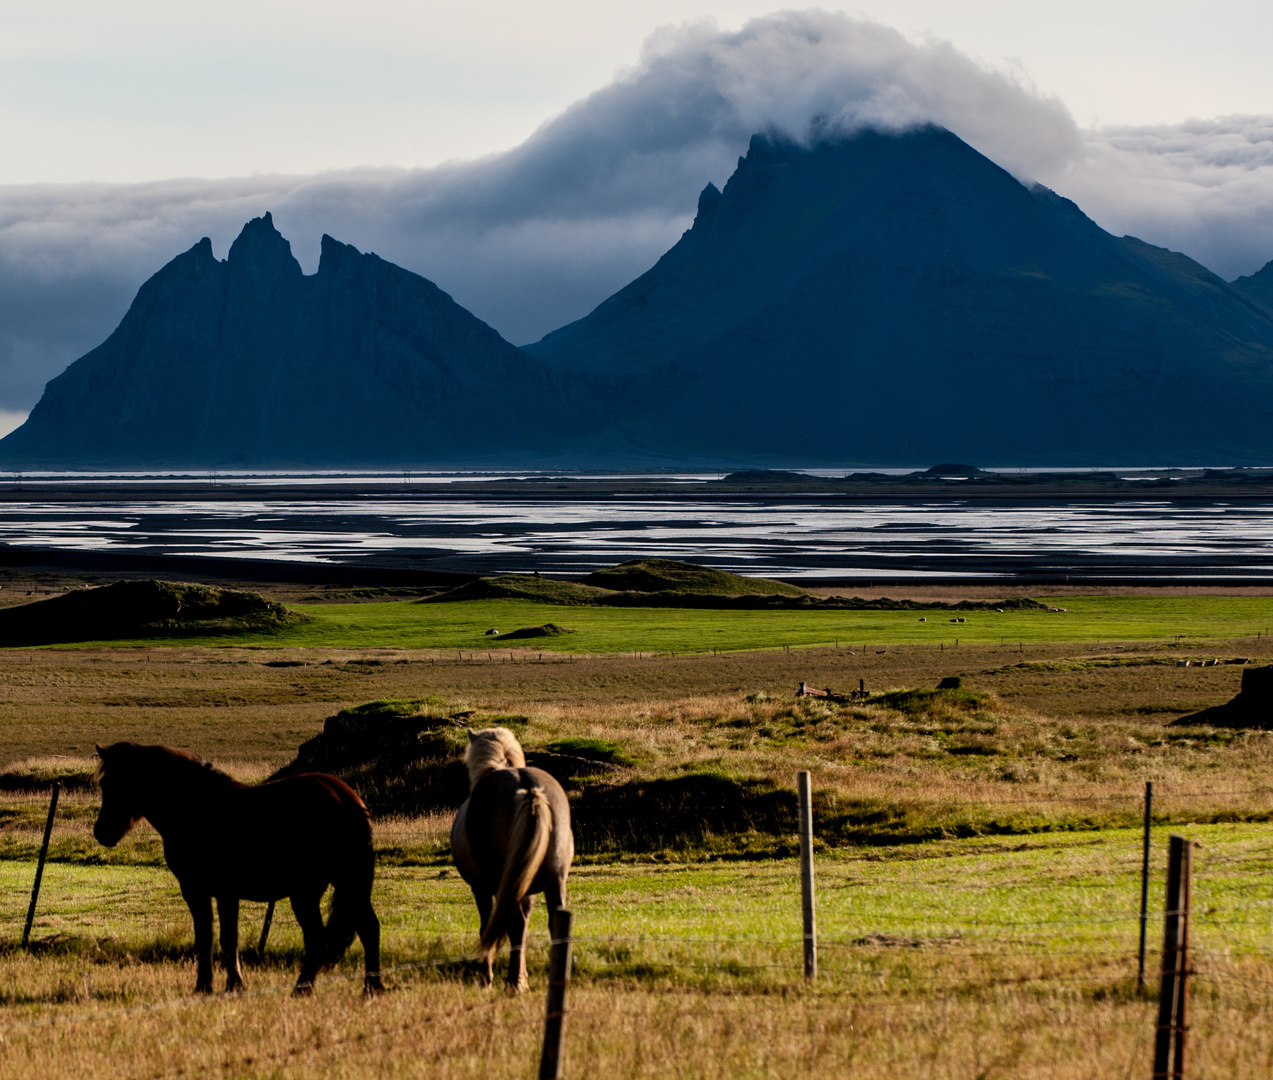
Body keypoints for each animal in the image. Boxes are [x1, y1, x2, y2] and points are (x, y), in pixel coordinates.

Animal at [94, 743, 381, 993]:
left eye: (115, 783)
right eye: (104, 784)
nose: (101, 832)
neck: (196, 808)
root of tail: (349, 799)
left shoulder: (197, 891)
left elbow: (207, 937)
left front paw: (205, 986)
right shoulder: (225, 894)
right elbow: (228, 939)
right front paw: (233, 985)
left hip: (309, 892)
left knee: (319, 939)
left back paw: (303, 990)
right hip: (346, 885)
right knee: (367, 929)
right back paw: (371, 989)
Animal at [445, 723, 570, 993]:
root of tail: (529, 788)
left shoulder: (482, 888)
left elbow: (488, 927)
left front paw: (487, 977)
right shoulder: (528, 889)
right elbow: (524, 928)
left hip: (502, 883)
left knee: (509, 924)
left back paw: (512, 983)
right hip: (554, 880)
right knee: (555, 923)